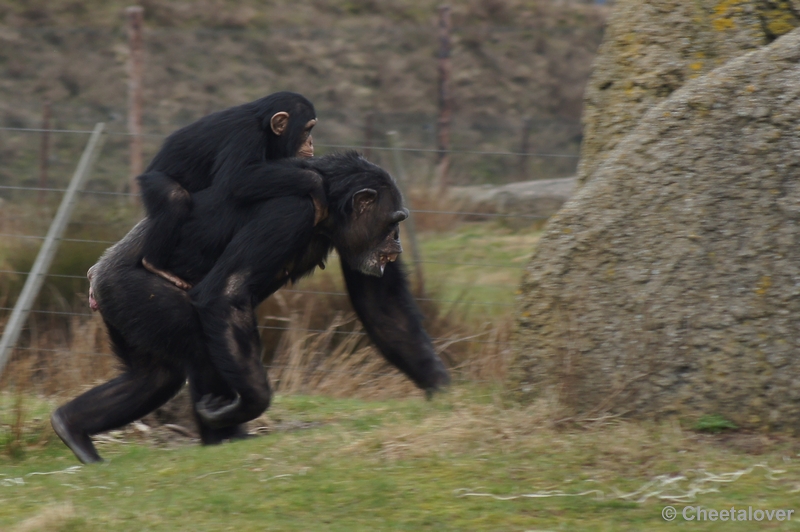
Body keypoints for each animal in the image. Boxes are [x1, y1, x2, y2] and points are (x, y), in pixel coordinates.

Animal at [51, 152, 450, 464]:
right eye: (393, 222)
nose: (396, 244)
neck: (328, 208)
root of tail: (96, 276)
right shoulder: (288, 213)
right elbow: (226, 293)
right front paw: (249, 406)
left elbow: (383, 306)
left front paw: (444, 392)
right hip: (135, 291)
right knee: (197, 350)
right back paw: (223, 437)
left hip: (123, 310)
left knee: (153, 377)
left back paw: (72, 427)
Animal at [138, 91, 322, 290]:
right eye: (307, 129)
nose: (311, 142)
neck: (263, 125)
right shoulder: (245, 134)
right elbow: (239, 178)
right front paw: (317, 183)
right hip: (151, 181)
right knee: (175, 198)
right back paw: (154, 265)